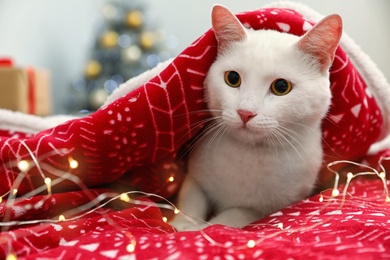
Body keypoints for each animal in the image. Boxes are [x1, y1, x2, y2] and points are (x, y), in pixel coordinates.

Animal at [171, 5, 342, 231]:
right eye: (232, 78)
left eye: (281, 87)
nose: (245, 112)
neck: (250, 153)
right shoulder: (195, 178)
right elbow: (191, 200)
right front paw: (182, 225)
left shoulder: (263, 210)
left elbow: (231, 216)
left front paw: (199, 229)